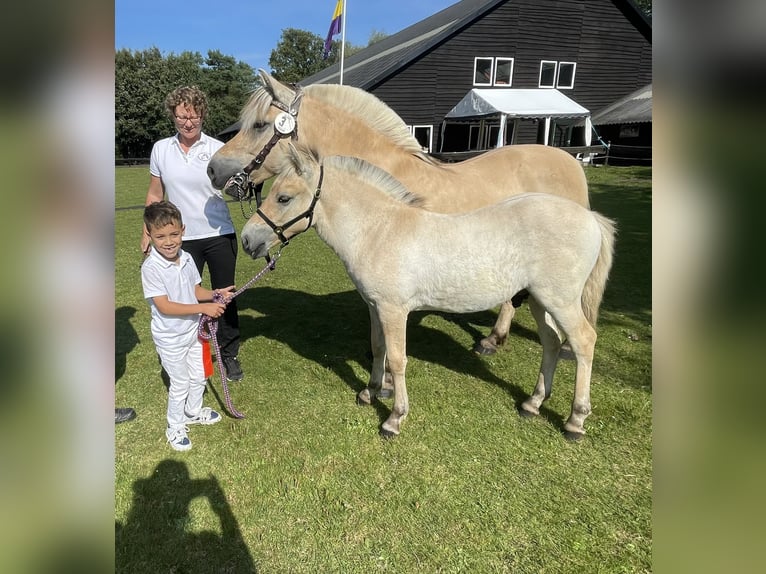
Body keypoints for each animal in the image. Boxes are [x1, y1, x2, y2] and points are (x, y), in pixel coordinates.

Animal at [243, 148, 620, 440]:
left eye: (284, 197)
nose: (248, 240)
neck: (379, 231)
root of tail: (590, 218)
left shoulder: (394, 310)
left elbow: (398, 359)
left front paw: (394, 419)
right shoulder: (375, 307)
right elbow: (378, 348)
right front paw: (369, 392)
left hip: (561, 301)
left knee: (584, 341)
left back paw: (575, 420)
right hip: (541, 300)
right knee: (552, 343)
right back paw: (533, 403)